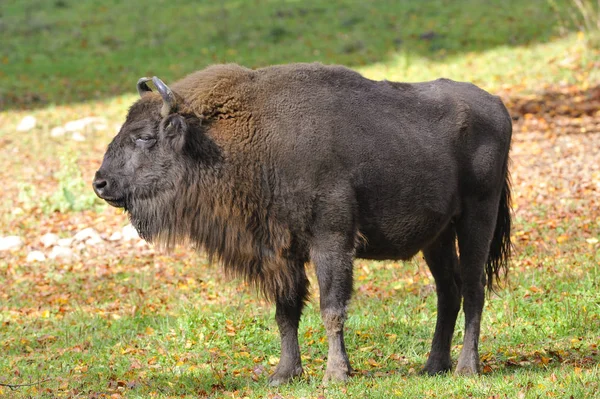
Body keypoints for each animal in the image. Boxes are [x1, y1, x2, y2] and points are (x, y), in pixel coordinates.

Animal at [92, 63, 510, 388]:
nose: (100, 183)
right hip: (437, 236)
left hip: (477, 217)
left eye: (145, 137)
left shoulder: (332, 241)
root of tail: (498, 106)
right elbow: (286, 312)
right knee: (447, 291)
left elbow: (331, 308)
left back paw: (466, 369)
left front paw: (336, 375)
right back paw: (432, 367)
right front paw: (284, 374)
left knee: (473, 288)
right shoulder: (280, 253)